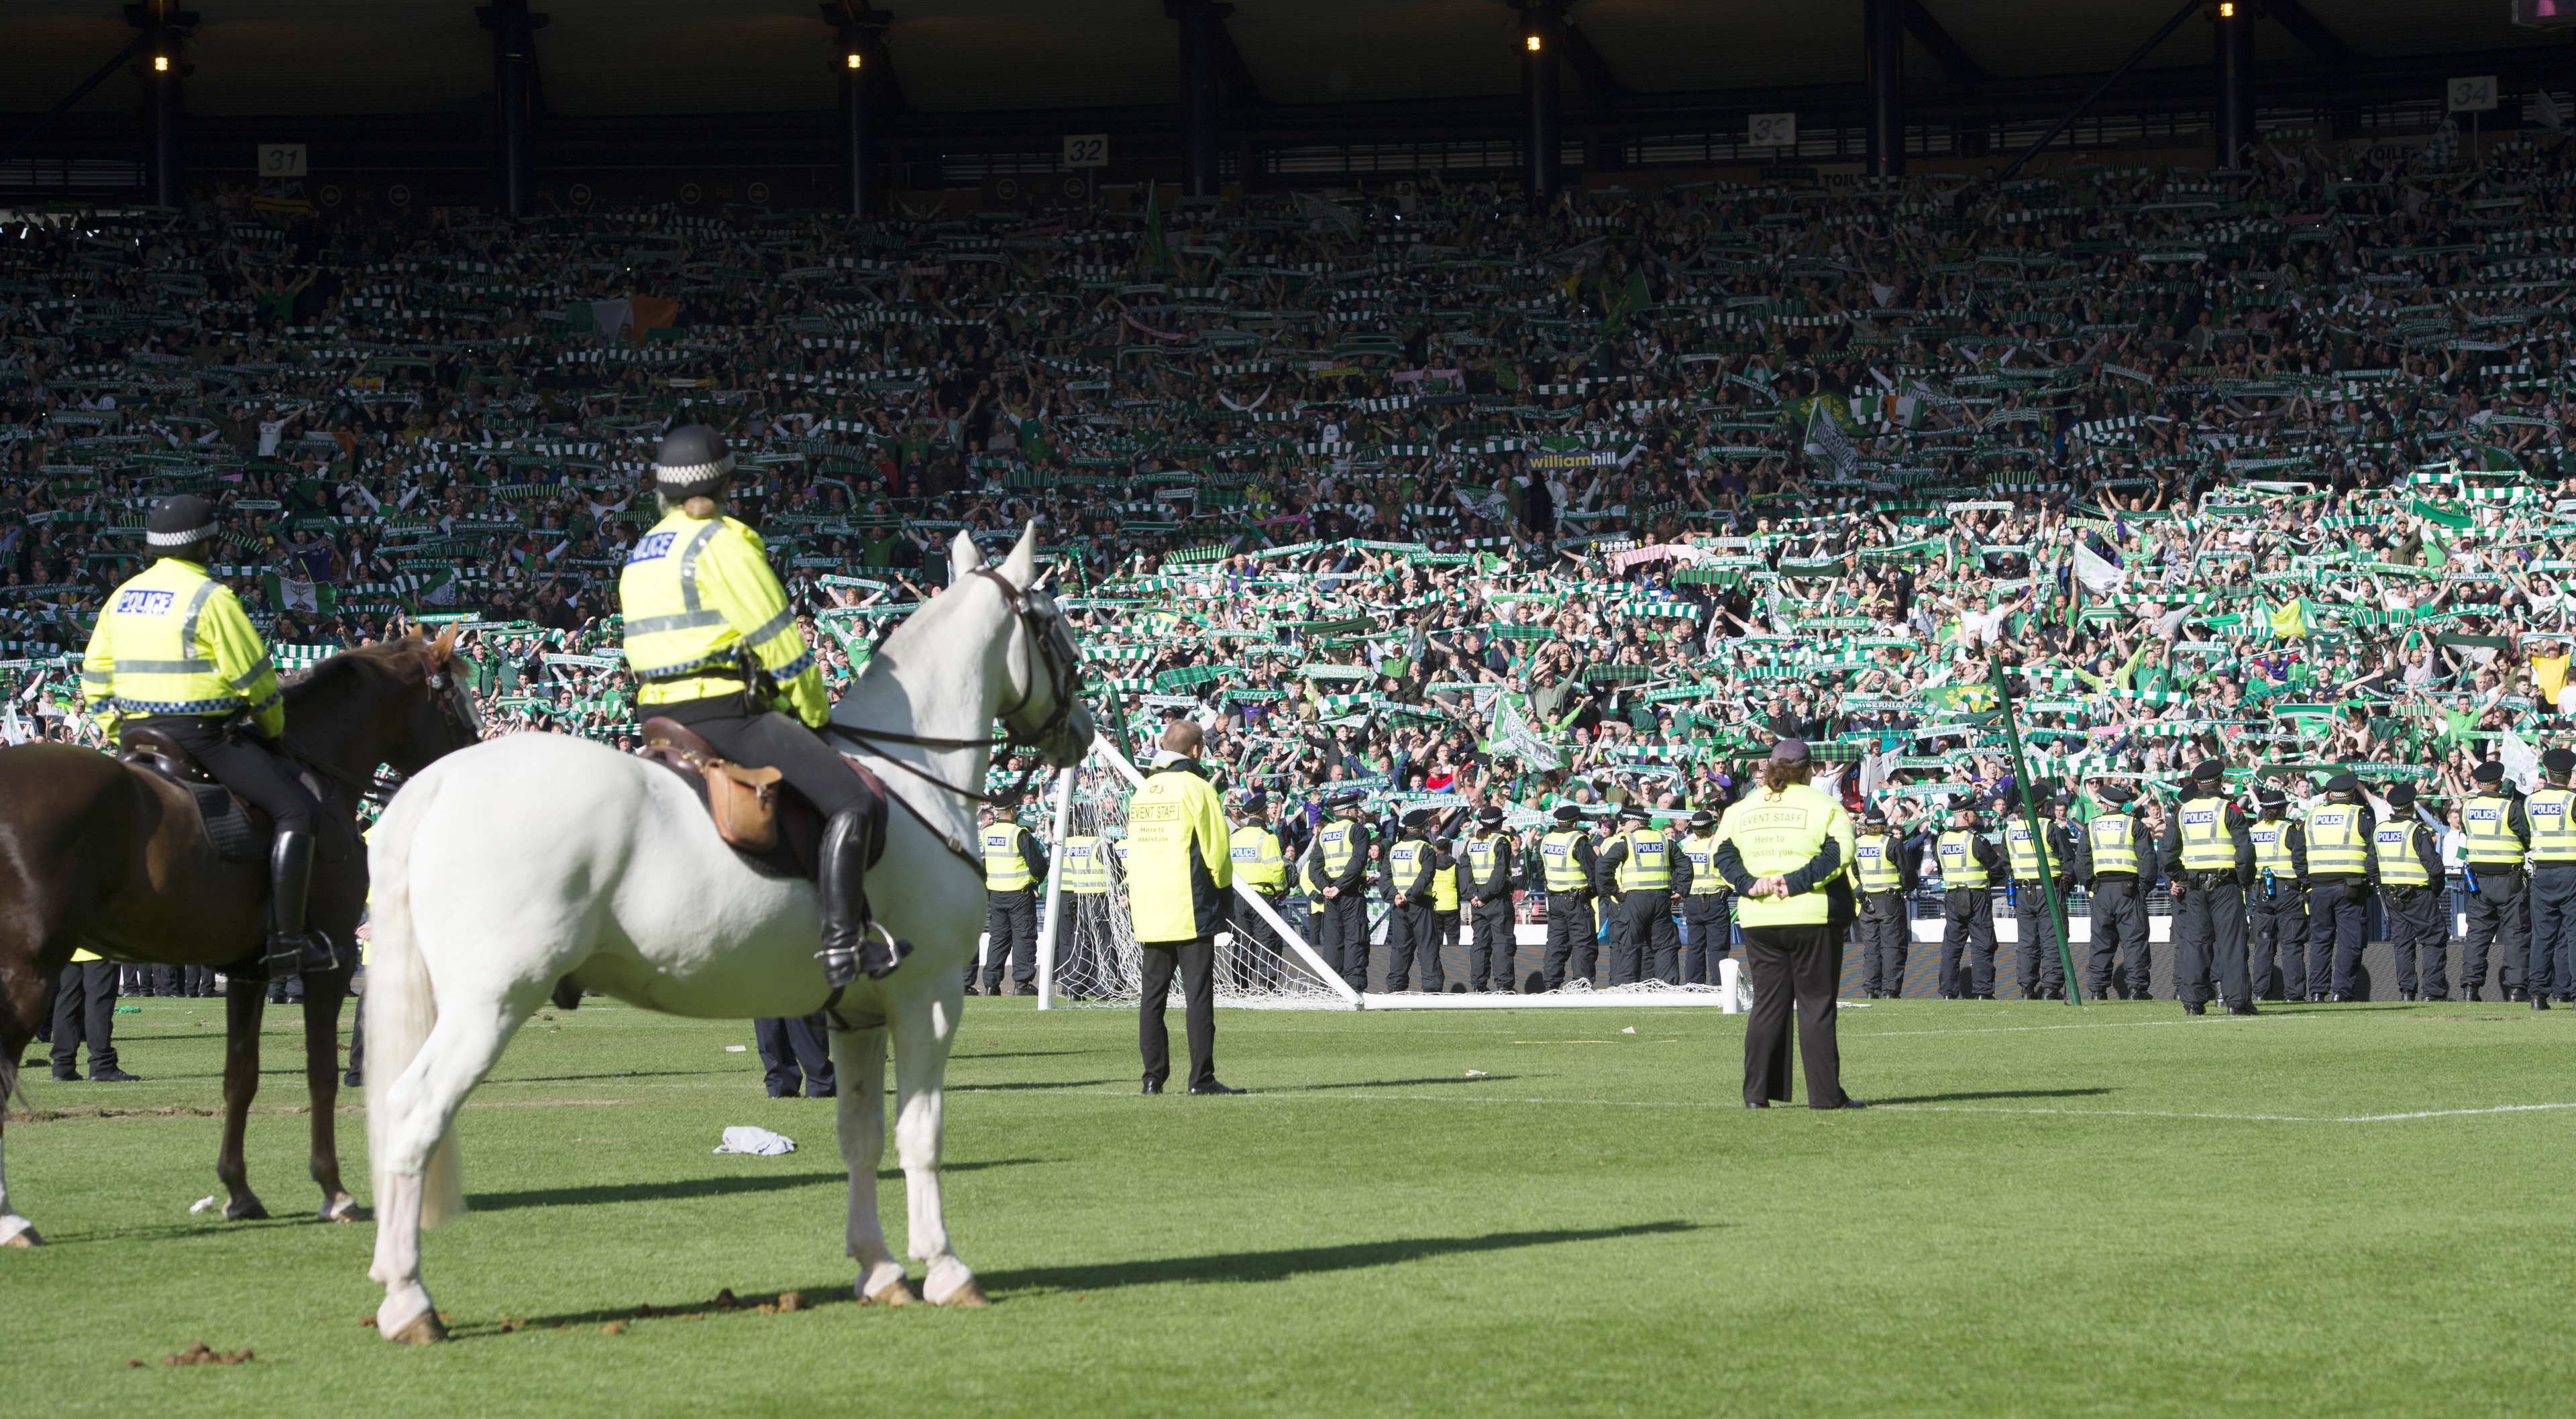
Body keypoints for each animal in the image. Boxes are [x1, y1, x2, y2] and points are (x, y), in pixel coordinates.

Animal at [0, 630, 482, 1246]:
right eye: (456, 702)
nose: (478, 762)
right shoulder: (332, 958)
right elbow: (321, 1073)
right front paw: (334, 1190)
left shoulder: (249, 969)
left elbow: (241, 1076)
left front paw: (238, 1191)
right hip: (31, 972)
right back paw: (12, 1217)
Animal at [363, 525, 1087, 1339]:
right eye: (1055, 624)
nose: (1085, 730)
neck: (912, 776)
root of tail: (439, 782)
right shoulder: (928, 999)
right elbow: (920, 1134)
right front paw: (945, 1268)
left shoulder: (859, 1017)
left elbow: (861, 1137)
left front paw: (877, 1268)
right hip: (490, 1006)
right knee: (412, 1113)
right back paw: (409, 1299)